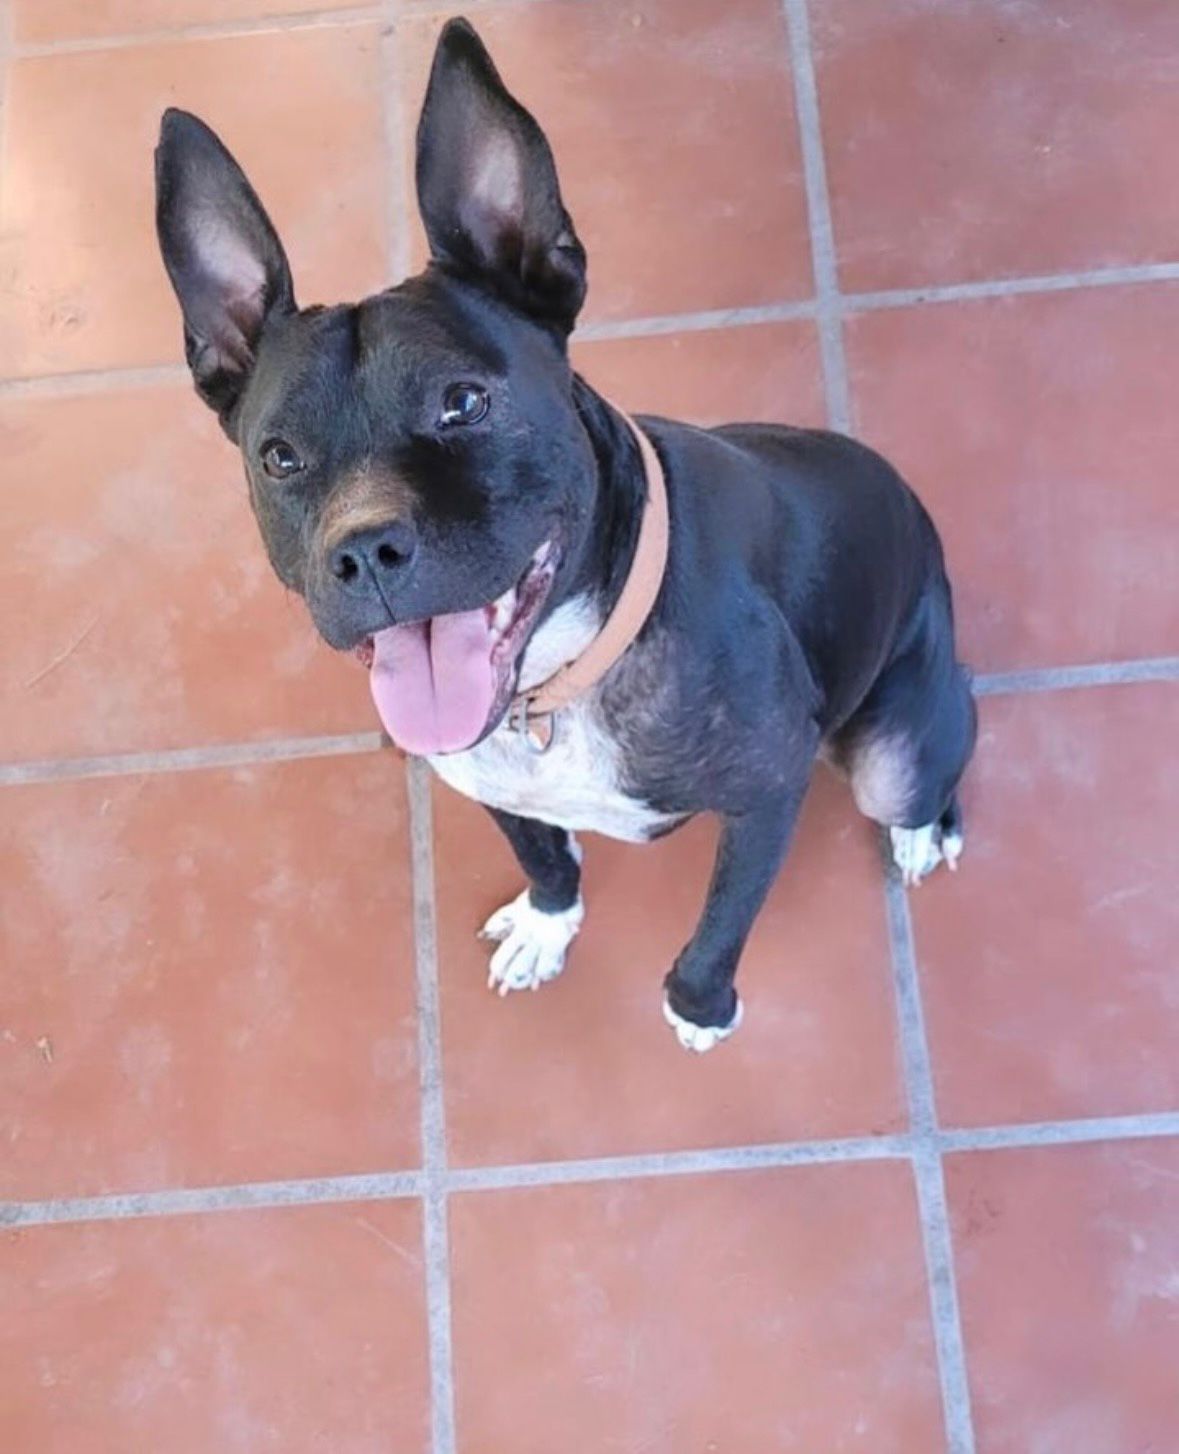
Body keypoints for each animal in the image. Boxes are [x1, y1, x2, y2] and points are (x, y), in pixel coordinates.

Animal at [154, 16, 976, 1052]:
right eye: (279, 457)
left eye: (463, 402)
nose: (363, 551)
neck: (553, 689)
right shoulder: (496, 788)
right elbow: (546, 860)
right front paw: (548, 927)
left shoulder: (768, 789)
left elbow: (721, 920)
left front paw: (698, 1006)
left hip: (894, 745)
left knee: (932, 761)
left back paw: (920, 830)